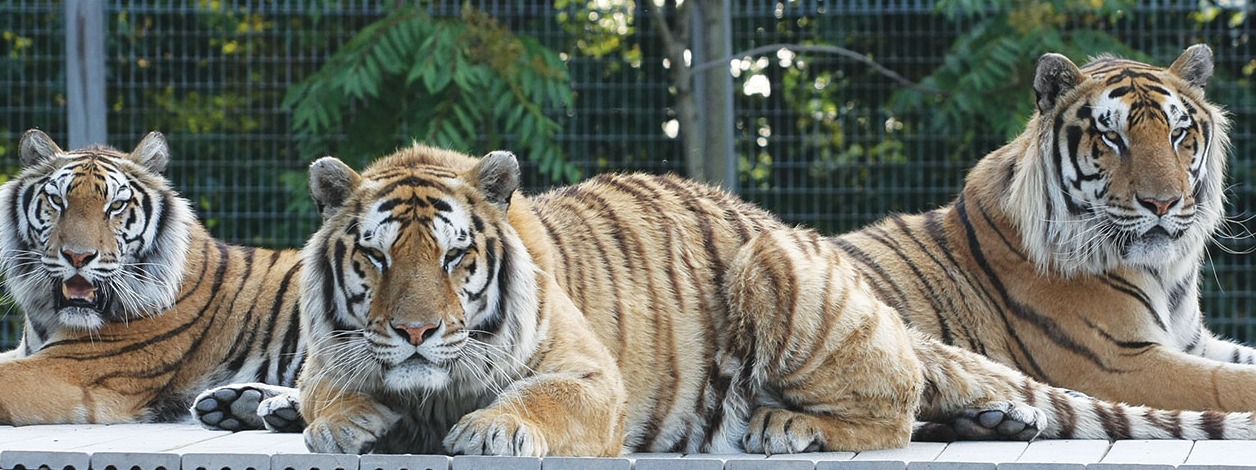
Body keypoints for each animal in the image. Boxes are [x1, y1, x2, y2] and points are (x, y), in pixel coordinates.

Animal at [0, 129, 305, 427]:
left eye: (116, 205)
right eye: (57, 201)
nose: (78, 256)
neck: (49, 316)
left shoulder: (76, 367)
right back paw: (238, 403)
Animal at [272, 142, 1256, 456]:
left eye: (454, 258)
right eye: (375, 258)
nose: (414, 330)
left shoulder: (589, 374)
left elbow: (541, 398)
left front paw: (489, 428)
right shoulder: (329, 351)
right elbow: (323, 389)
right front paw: (349, 420)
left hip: (778, 274)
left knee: (895, 406)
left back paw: (786, 426)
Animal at [834, 43, 1256, 416]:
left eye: (1177, 133)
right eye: (1112, 137)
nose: (1162, 203)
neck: (1164, 275)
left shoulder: (1192, 343)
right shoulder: (1119, 361)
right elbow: (1229, 383)